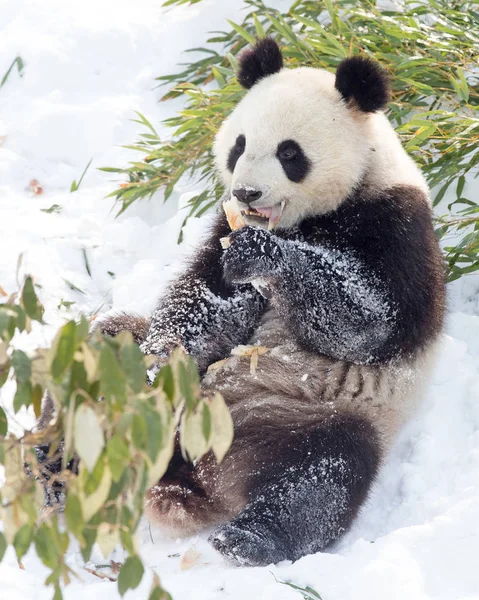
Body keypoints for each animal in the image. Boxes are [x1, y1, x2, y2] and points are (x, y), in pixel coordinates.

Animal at [97, 38, 446, 568]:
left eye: (289, 153)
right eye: (239, 144)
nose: (246, 192)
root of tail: (199, 473)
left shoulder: (398, 226)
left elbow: (368, 324)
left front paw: (264, 256)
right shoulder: (221, 227)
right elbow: (203, 302)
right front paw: (160, 361)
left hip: (309, 416)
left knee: (321, 475)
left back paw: (246, 539)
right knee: (107, 342)